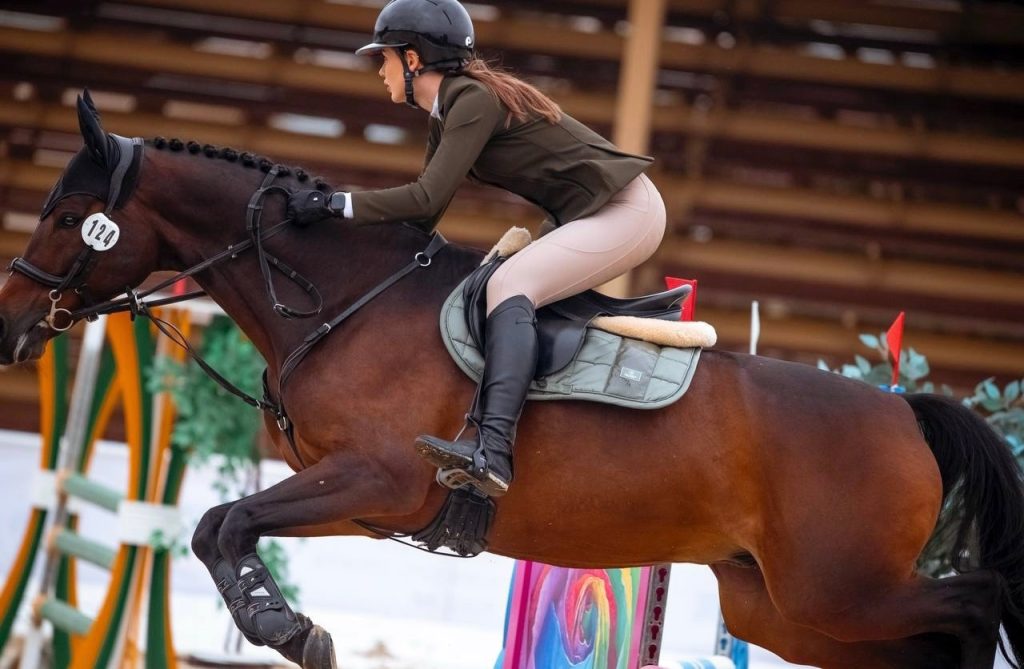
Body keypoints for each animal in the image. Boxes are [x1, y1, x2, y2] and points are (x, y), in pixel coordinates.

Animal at [1, 94, 1022, 669]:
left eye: (68, 214)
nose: (9, 325)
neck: (342, 298)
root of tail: (904, 413)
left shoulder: (376, 476)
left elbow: (224, 522)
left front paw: (287, 629)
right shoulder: (365, 498)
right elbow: (223, 527)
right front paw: (286, 626)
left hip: (840, 587)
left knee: (972, 611)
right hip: (779, 605)